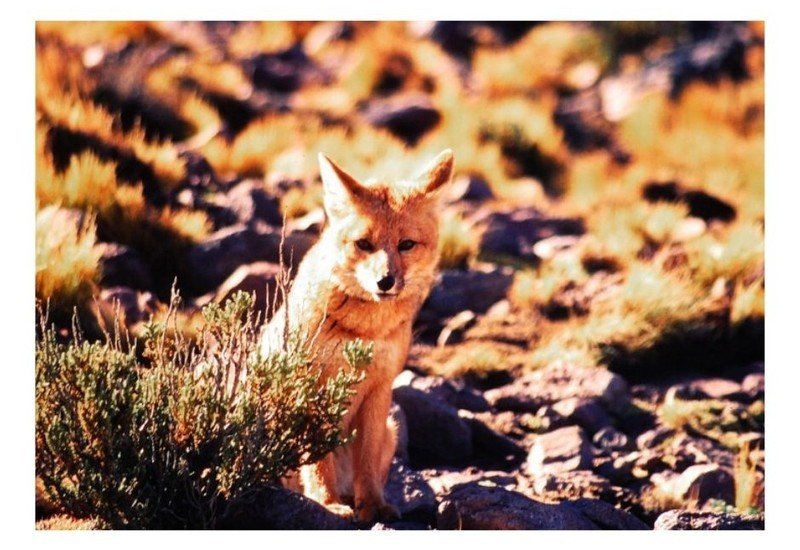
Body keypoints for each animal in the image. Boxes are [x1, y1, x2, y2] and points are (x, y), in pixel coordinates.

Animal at [260, 149, 454, 524]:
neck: (365, 331)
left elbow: (367, 460)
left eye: (406, 245)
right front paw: (327, 504)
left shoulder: (380, 387)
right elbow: (317, 461)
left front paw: (374, 506)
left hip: (391, 429)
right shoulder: (312, 385)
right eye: (364, 244)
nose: (385, 281)